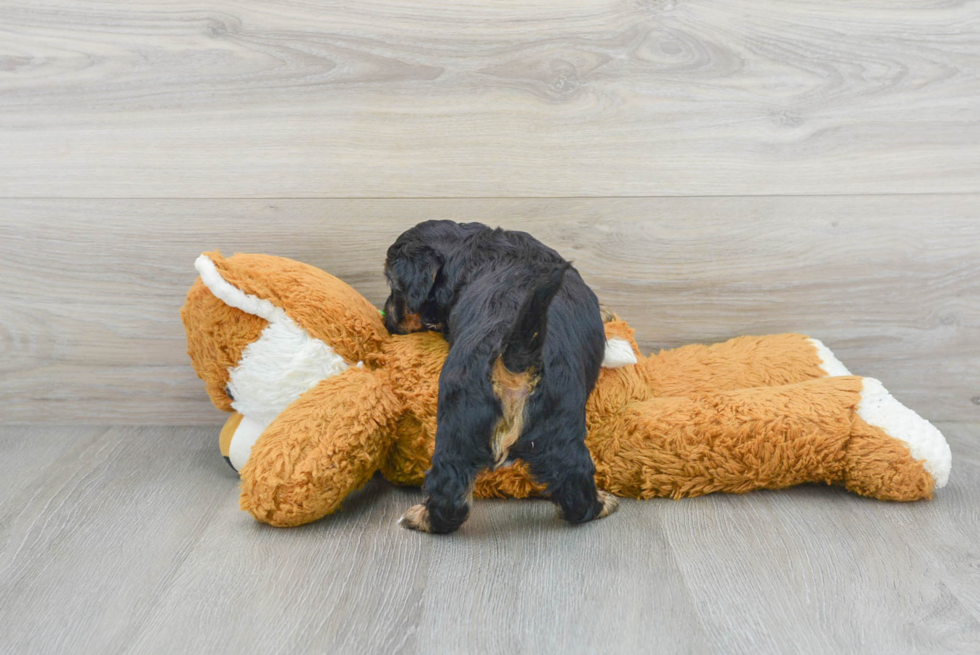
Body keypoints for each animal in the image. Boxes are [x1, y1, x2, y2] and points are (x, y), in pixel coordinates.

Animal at [386, 220, 616, 532]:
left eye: (393, 286)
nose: (387, 319)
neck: (465, 245)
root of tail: (514, 358)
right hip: (559, 423)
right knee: (573, 484)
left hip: (462, 421)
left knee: (451, 485)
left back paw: (422, 518)